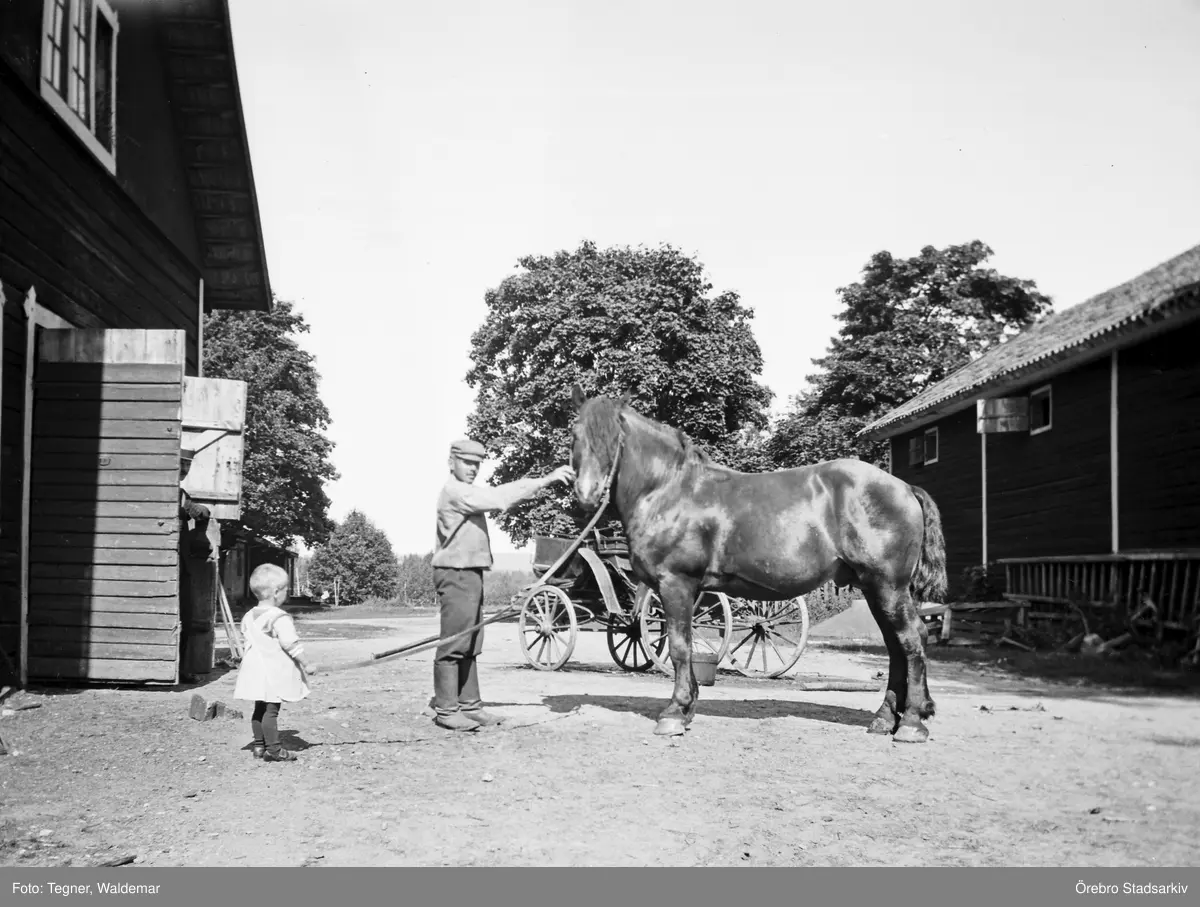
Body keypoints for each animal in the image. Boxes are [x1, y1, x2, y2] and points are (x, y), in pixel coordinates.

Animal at [568, 386, 948, 743]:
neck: (668, 490)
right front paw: (687, 708)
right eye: (574, 432)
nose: (587, 495)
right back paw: (884, 718)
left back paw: (911, 722)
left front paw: (674, 713)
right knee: (896, 646)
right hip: (874, 588)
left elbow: (678, 647)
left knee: (911, 640)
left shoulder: (676, 584)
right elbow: (684, 646)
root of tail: (904, 488)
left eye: (615, 438)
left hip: (888, 586)